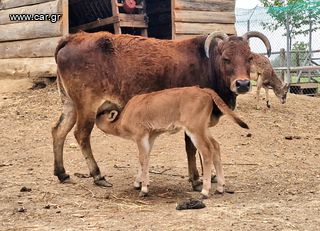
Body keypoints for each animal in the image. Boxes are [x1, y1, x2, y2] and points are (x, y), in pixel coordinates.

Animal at [94, 85, 249, 198]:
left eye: (100, 114)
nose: (92, 118)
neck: (126, 115)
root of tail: (203, 90)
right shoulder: (150, 137)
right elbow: (145, 158)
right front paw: (138, 183)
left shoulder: (140, 136)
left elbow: (142, 159)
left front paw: (143, 189)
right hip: (203, 129)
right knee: (216, 146)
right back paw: (220, 188)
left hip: (195, 131)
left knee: (207, 151)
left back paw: (205, 191)